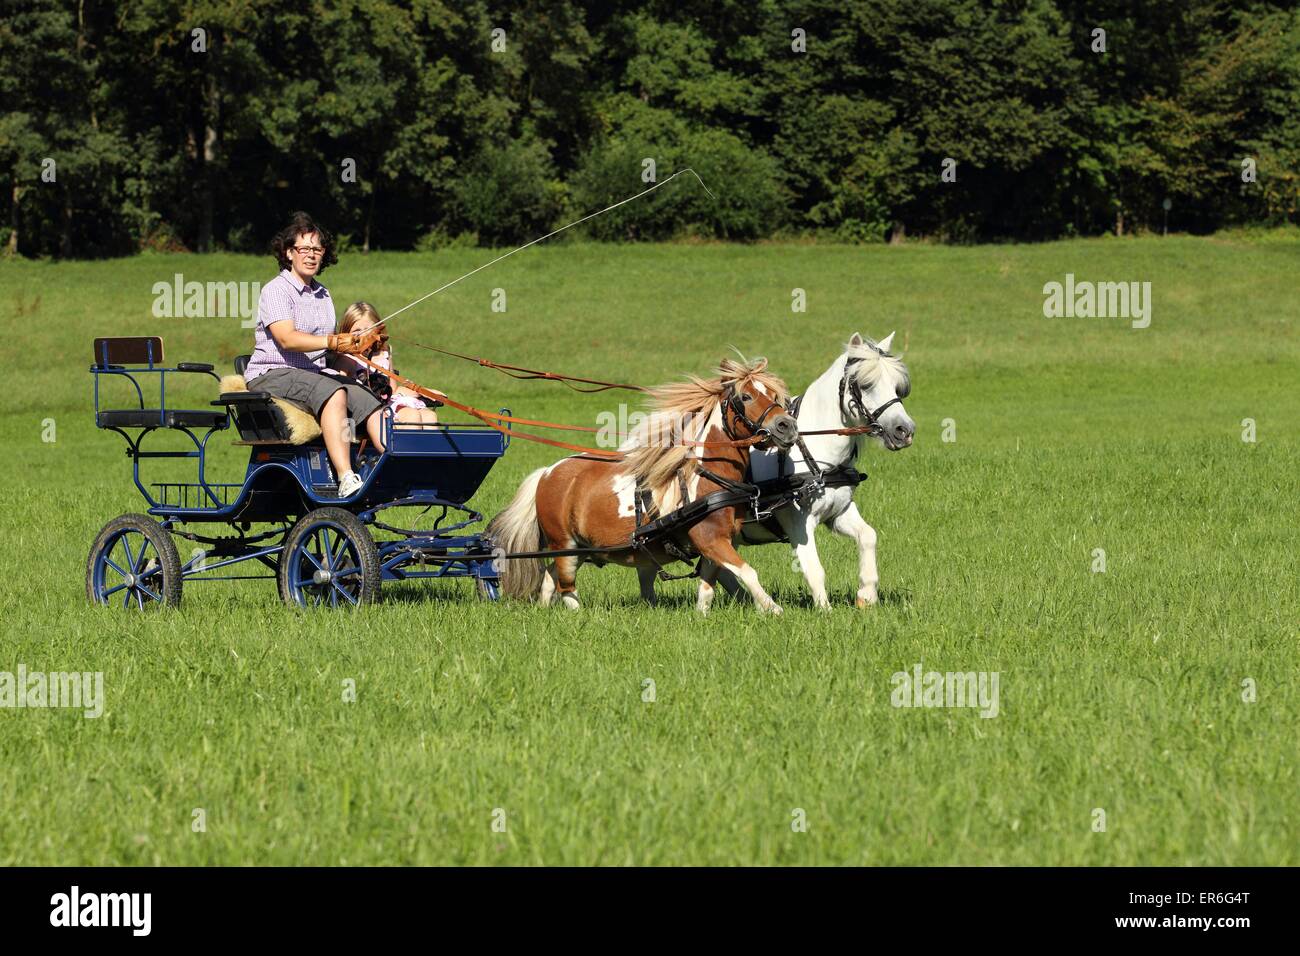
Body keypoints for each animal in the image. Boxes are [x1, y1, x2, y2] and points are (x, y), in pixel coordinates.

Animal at [486, 356, 795, 613]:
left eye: (774, 395)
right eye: (746, 396)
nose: (787, 426)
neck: (707, 478)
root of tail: (548, 472)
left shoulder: (716, 542)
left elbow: (708, 586)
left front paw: (702, 616)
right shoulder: (710, 538)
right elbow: (747, 572)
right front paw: (774, 610)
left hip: (582, 546)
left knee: (551, 577)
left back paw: (544, 609)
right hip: (564, 543)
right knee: (566, 583)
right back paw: (576, 615)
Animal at [702, 330, 915, 613]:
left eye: (897, 385)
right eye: (866, 384)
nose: (905, 430)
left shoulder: (838, 512)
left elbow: (868, 536)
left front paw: (866, 595)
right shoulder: (798, 523)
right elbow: (814, 568)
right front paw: (825, 611)